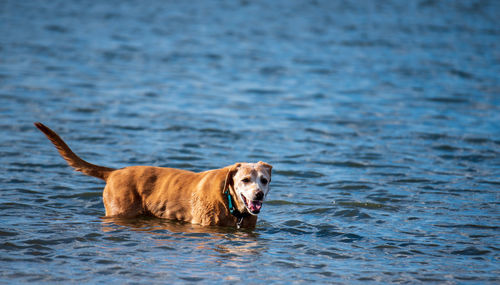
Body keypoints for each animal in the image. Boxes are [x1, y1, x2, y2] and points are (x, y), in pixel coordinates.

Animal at [34, 121, 274, 226]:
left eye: (264, 180)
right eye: (245, 180)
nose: (259, 194)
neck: (231, 203)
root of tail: (114, 173)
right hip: (120, 211)